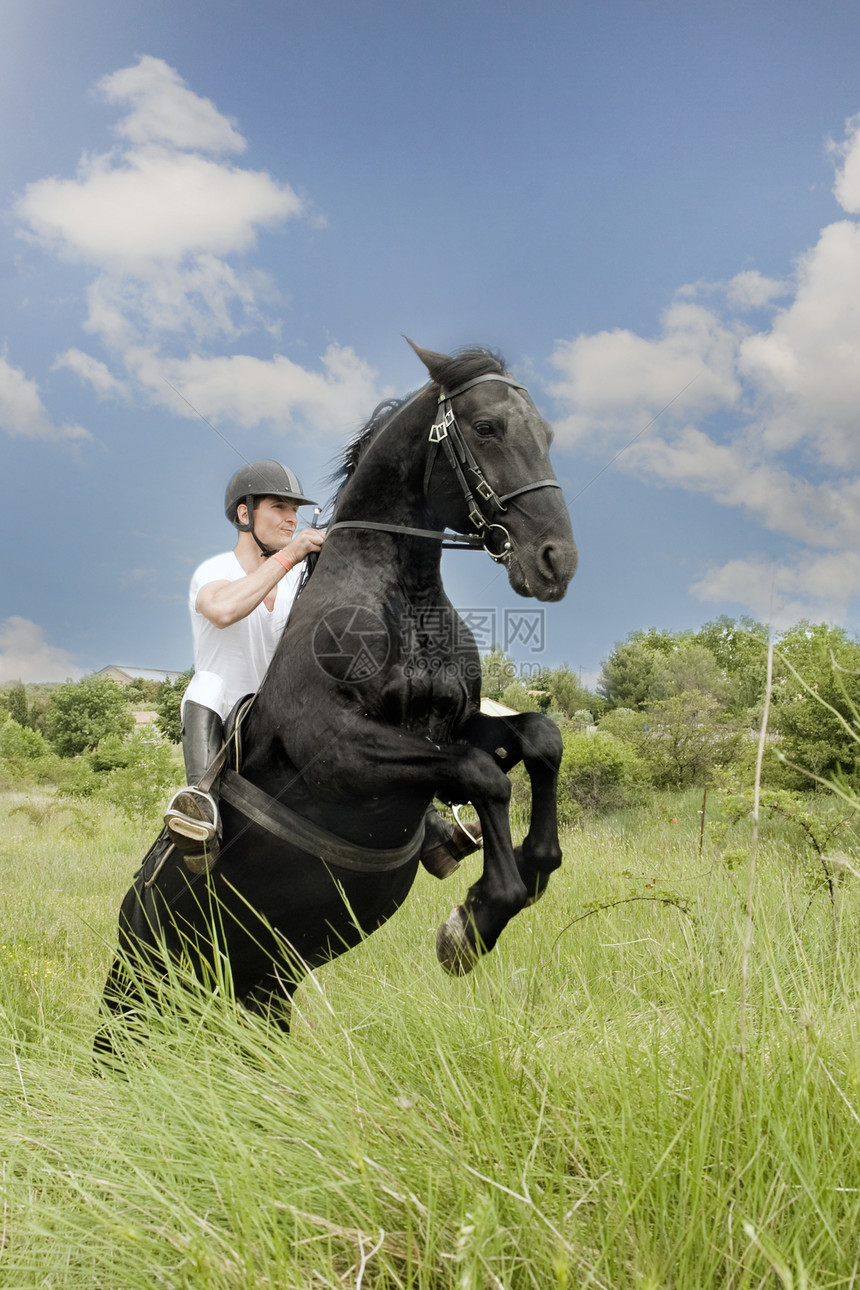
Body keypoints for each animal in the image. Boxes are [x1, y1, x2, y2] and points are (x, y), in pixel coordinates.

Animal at [97, 343, 575, 1037]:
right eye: (487, 428)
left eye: (546, 435)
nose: (556, 561)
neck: (405, 598)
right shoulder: (343, 751)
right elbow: (483, 773)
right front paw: (475, 921)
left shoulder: (452, 726)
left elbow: (539, 738)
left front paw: (529, 870)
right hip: (141, 985)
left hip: (265, 981)